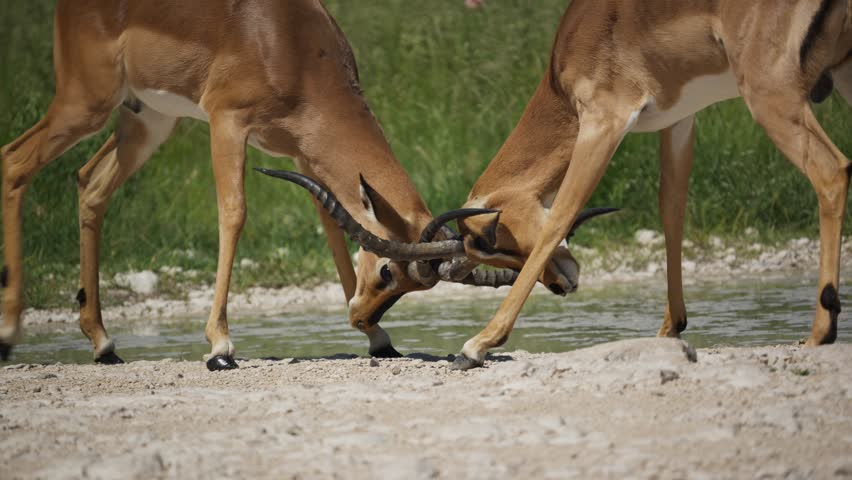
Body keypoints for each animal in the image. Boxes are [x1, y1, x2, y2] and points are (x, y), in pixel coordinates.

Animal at [0, 0, 511, 370]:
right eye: (388, 272)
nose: (361, 315)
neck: (289, 43)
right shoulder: (226, 122)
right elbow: (234, 213)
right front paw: (220, 347)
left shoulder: (303, 153)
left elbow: (332, 226)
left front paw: (378, 340)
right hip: (86, 102)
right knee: (14, 163)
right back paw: (9, 335)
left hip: (146, 119)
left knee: (90, 183)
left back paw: (103, 344)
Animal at [452, 0, 852, 370]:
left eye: (498, 240)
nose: (559, 286)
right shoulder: (678, 120)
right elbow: (671, 210)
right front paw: (670, 329)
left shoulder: (604, 120)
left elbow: (561, 214)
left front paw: (477, 344)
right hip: (838, 74)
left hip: (769, 94)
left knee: (832, 171)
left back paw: (820, 332)